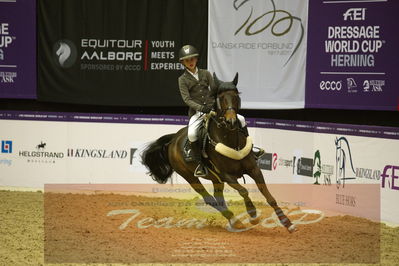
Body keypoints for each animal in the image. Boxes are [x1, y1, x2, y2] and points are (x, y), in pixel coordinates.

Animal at [142, 73, 296, 233]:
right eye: (220, 98)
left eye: (236, 96)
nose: (231, 121)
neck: (231, 142)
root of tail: (173, 139)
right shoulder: (227, 176)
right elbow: (244, 191)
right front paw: (253, 215)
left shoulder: (254, 169)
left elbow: (267, 195)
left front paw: (287, 222)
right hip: (190, 177)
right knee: (209, 198)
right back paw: (235, 220)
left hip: (215, 178)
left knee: (218, 197)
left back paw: (234, 221)